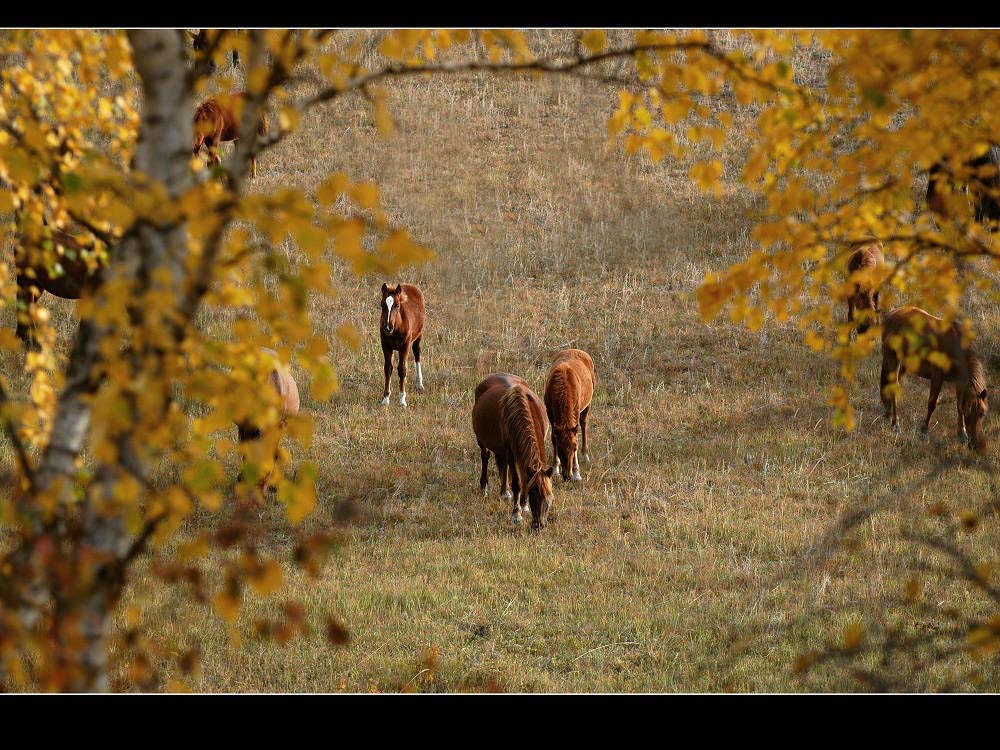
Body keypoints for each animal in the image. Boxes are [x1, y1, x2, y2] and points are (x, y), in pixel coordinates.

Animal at [376, 284, 422, 412]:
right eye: (382, 304)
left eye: (397, 305)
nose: (387, 328)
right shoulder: (385, 346)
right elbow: (388, 369)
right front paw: (385, 399)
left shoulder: (405, 346)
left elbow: (402, 370)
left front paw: (402, 400)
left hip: (418, 337)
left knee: (417, 355)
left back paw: (420, 384)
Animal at [470, 374, 556, 528]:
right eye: (533, 494)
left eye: (549, 497)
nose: (539, 525)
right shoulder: (511, 451)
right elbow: (517, 483)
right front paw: (516, 514)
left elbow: (524, 478)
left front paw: (524, 505)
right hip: (483, 441)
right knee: (485, 457)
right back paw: (484, 487)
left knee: (502, 464)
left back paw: (505, 492)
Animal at [544, 348, 596, 482]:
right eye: (559, 449)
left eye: (574, 448)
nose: (567, 476)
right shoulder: (550, 413)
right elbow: (553, 437)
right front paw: (555, 468)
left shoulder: (576, 411)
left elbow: (576, 434)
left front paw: (577, 473)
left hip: (588, 403)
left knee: (584, 423)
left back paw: (586, 455)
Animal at [880, 306, 988, 452]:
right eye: (968, 412)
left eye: (982, 413)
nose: (974, 444)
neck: (956, 347)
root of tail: (890, 315)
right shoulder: (937, 376)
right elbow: (932, 403)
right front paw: (924, 430)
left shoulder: (959, 382)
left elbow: (958, 405)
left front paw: (962, 434)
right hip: (894, 361)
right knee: (893, 391)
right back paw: (895, 424)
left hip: (902, 365)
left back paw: (887, 414)